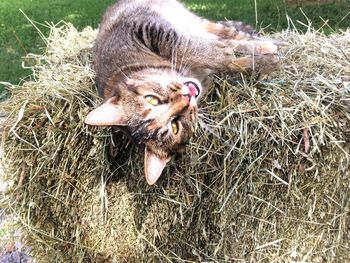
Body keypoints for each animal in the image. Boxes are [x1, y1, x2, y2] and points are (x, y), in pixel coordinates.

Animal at [85, 0, 282, 186]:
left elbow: (202, 50)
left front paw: (258, 56)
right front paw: (263, 63)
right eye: (175, 126)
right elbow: (228, 59)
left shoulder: (150, 30)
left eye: (152, 99)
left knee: (229, 34)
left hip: (192, 21)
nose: (186, 98)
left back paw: (266, 42)